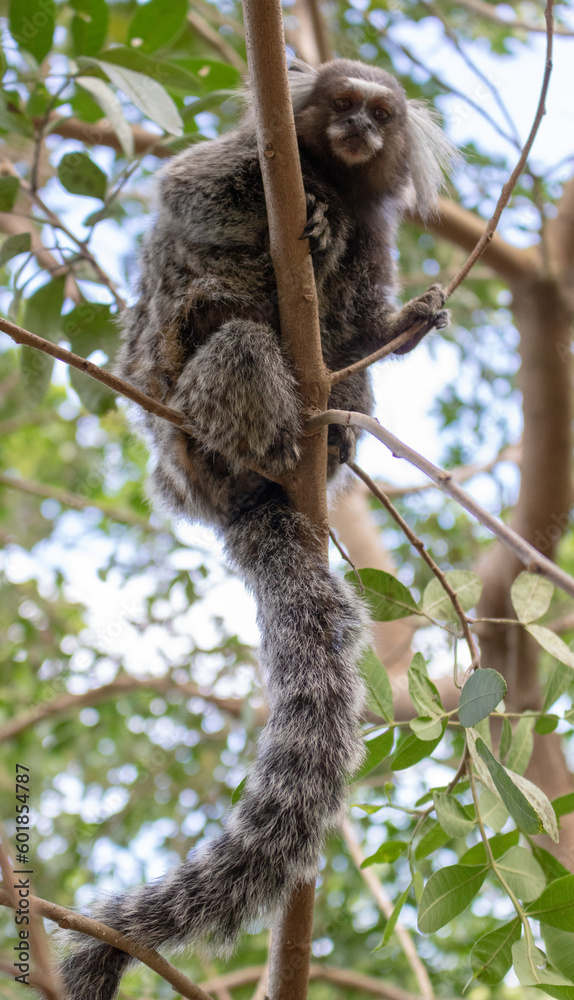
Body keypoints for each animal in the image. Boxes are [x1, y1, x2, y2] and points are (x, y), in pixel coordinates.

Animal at [58, 58, 454, 1000]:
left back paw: (329, 436)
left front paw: (410, 319)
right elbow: (187, 191)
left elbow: (362, 325)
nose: (357, 128)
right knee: (230, 335)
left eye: (380, 115)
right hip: (185, 433)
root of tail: (220, 500)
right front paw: (307, 214)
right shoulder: (239, 160)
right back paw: (268, 428)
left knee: (336, 367)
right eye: (340, 104)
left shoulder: (375, 238)